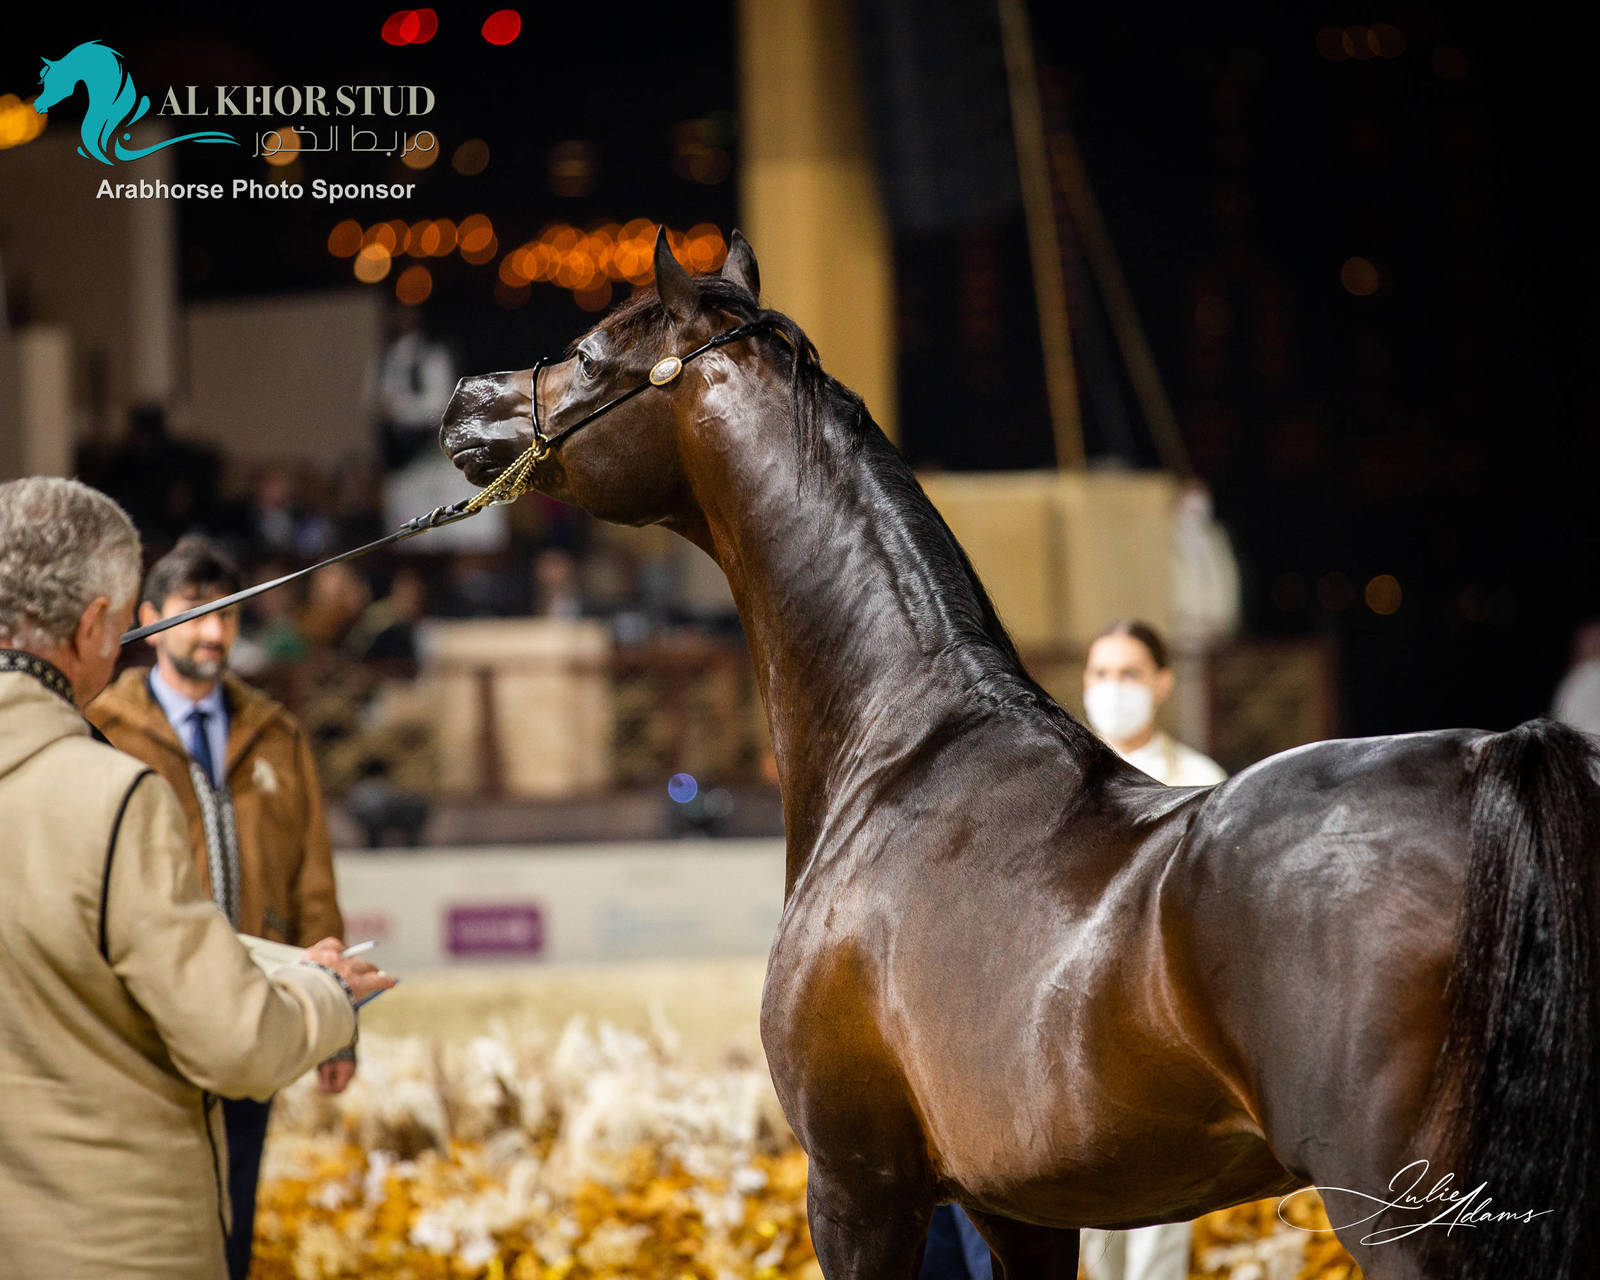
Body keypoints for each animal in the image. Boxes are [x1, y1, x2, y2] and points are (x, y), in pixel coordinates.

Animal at [440, 228, 1599, 1280]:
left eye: (591, 351)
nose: (464, 399)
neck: (903, 746)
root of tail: (1491, 763)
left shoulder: (860, 1184)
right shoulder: (1024, 1207)